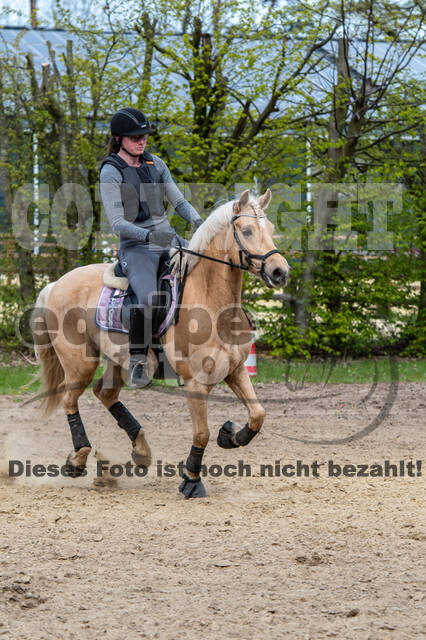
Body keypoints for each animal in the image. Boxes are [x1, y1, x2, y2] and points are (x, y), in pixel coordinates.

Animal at [30, 188, 290, 498]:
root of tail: (55, 284)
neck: (212, 302)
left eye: (271, 229)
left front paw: (229, 435)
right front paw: (191, 481)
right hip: (79, 363)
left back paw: (141, 450)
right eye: (248, 230)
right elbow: (201, 433)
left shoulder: (236, 370)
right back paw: (78, 459)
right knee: (70, 400)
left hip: (119, 361)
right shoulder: (196, 383)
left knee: (105, 393)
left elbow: (258, 415)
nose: (280, 272)